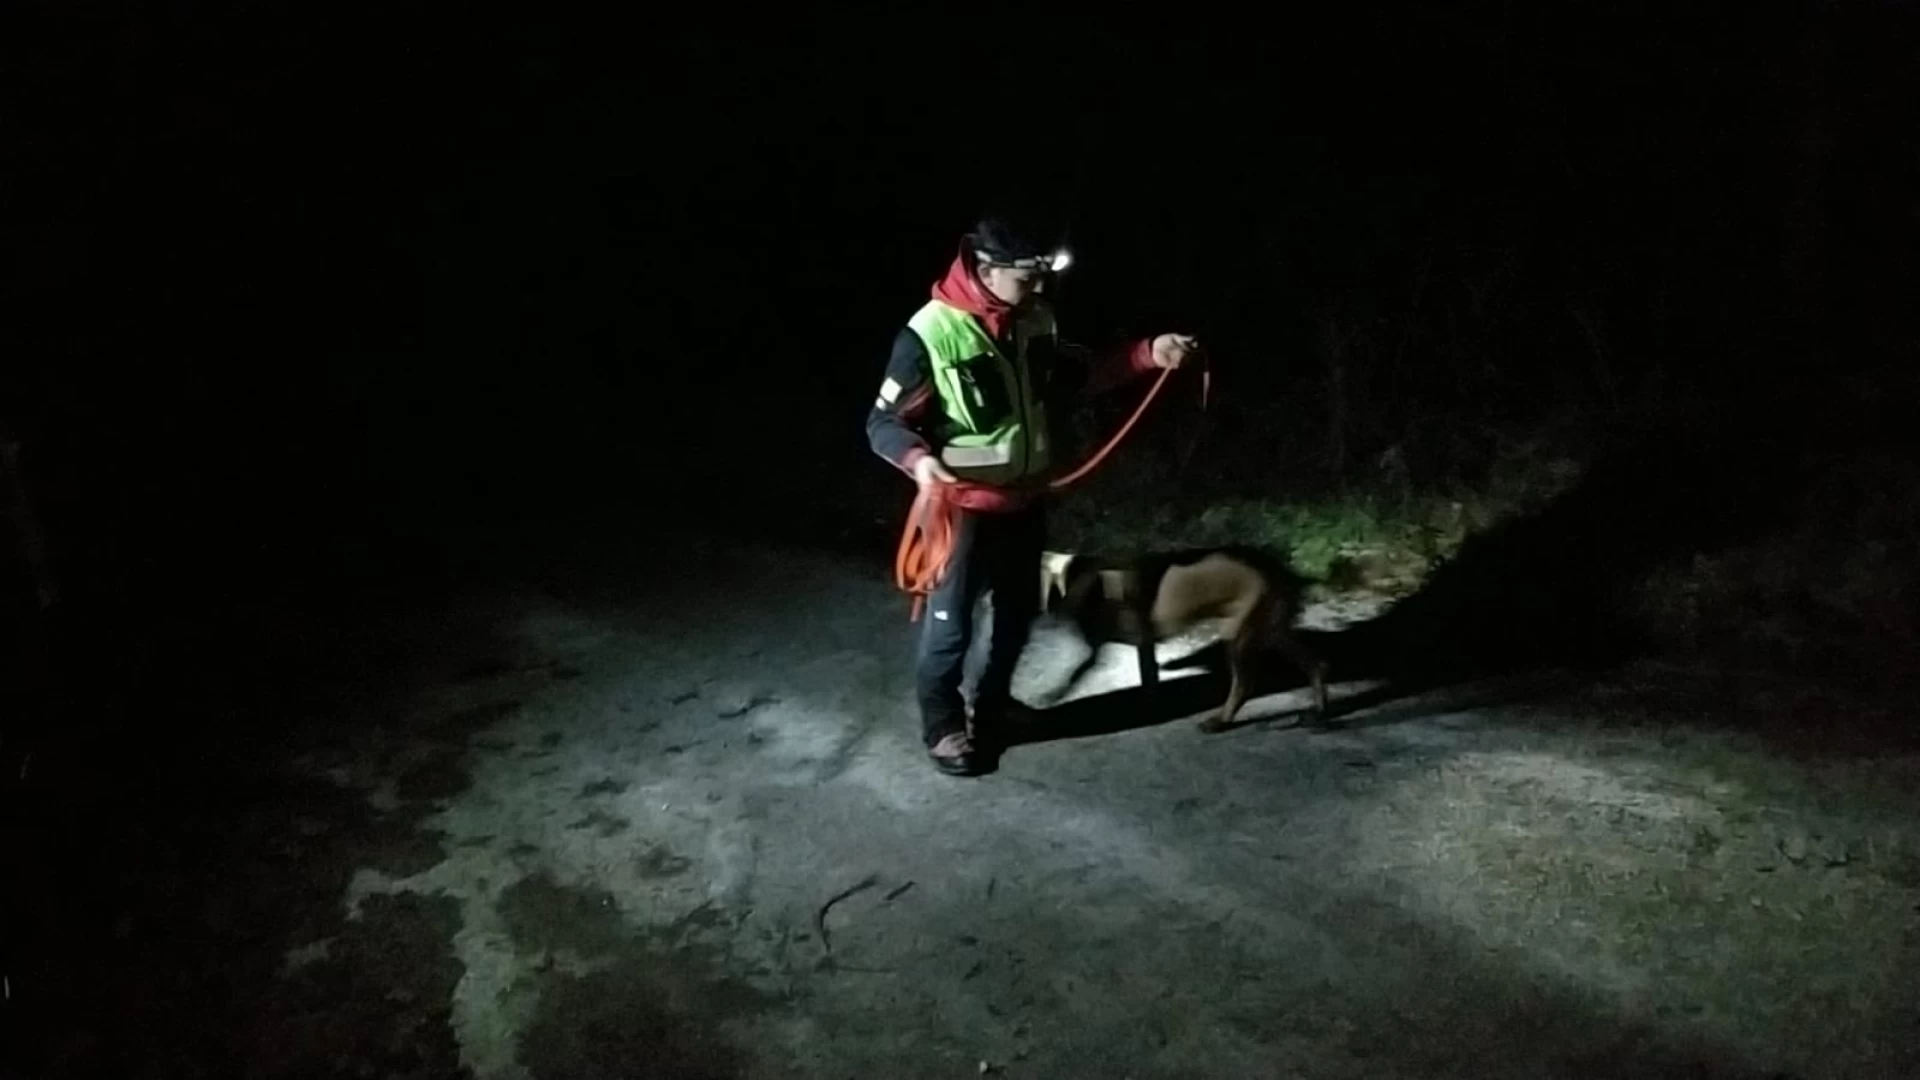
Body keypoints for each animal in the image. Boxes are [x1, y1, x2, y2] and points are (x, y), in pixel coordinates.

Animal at [1044, 541, 1328, 726]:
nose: (1058, 613)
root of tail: (1280, 570)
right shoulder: (1111, 648)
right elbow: (1078, 673)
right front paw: (1056, 693)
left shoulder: (1143, 643)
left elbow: (1148, 683)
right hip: (1271, 632)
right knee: (1315, 663)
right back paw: (1319, 711)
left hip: (1239, 636)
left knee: (1244, 684)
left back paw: (1221, 720)